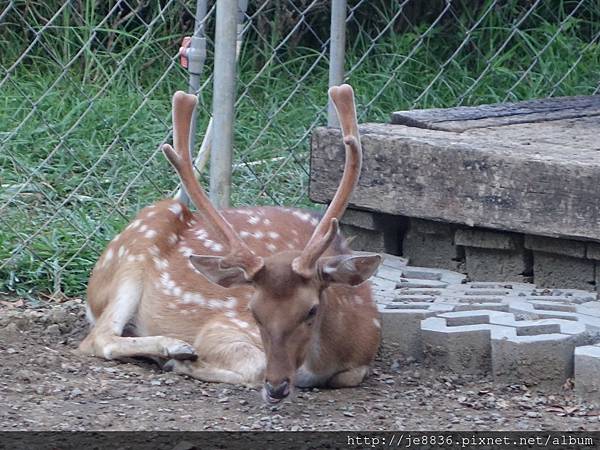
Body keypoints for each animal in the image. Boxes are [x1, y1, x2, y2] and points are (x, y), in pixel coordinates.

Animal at [78, 83, 380, 404]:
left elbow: (352, 375)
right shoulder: (222, 325)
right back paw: (175, 348)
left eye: (311, 310)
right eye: (253, 312)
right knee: (99, 338)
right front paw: (182, 362)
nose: (276, 388)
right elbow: (254, 365)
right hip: (131, 256)